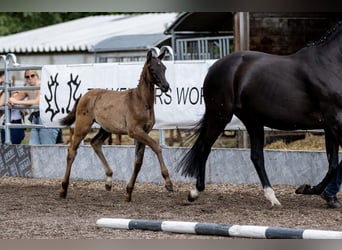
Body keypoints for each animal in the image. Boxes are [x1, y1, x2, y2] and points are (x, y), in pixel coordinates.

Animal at [178, 21, 342, 206]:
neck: (329, 64)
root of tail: (214, 67)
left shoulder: (330, 125)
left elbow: (333, 163)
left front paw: (317, 192)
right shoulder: (336, 121)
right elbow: (335, 163)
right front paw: (308, 189)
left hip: (252, 121)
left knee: (256, 157)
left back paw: (272, 196)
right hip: (220, 115)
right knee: (205, 147)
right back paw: (195, 192)